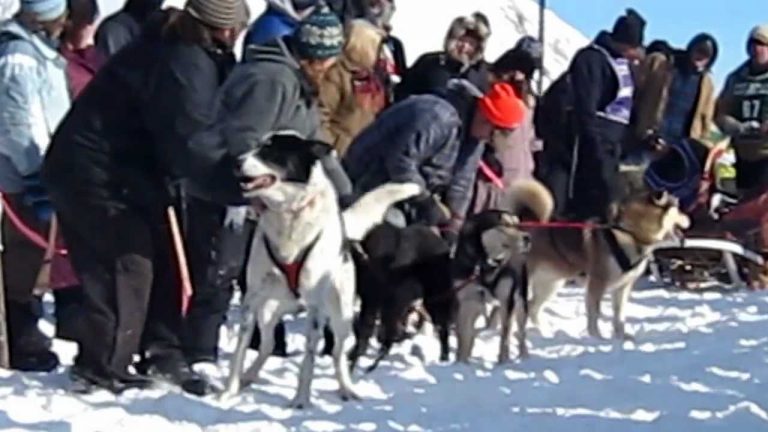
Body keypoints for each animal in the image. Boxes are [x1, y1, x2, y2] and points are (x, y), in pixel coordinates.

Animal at [219, 132, 420, 408]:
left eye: (270, 151)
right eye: (257, 146)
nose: (236, 162)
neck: (289, 215)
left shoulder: (315, 308)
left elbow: (309, 359)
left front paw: (300, 401)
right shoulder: (252, 298)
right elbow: (239, 350)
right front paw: (228, 392)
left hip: (340, 316)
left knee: (337, 353)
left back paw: (347, 388)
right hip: (268, 310)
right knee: (268, 345)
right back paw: (249, 375)